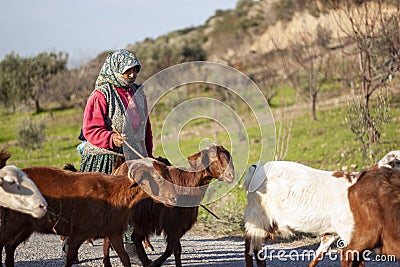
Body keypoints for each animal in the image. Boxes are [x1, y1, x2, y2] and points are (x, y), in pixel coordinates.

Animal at [0, 161, 177, 267]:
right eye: (157, 178)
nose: (175, 198)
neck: (115, 193)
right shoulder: (78, 233)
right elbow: (70, 259)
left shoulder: (113, 232)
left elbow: (125, 258)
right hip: (13, 222)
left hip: (25, 227)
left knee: (9, 248)